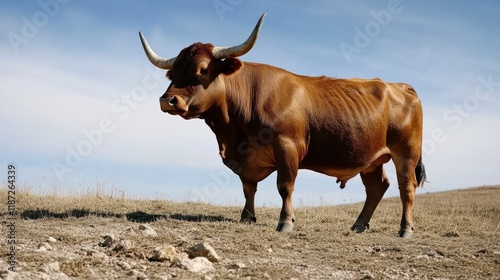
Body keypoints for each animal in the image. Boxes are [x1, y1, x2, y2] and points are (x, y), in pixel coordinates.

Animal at [139, 12, 428, 236]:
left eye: (202, 70)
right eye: (174, 73)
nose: (168, 100)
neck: (233, 133)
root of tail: (401, 86)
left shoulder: (287, 146)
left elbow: (284, 185)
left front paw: (285, 222)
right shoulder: (244, 156)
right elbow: (248, 187)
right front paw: (247, 217)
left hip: (406, 153)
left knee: (406, 188)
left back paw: (405, 229)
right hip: (371, 158)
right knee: (377, 187)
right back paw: (358, 226)